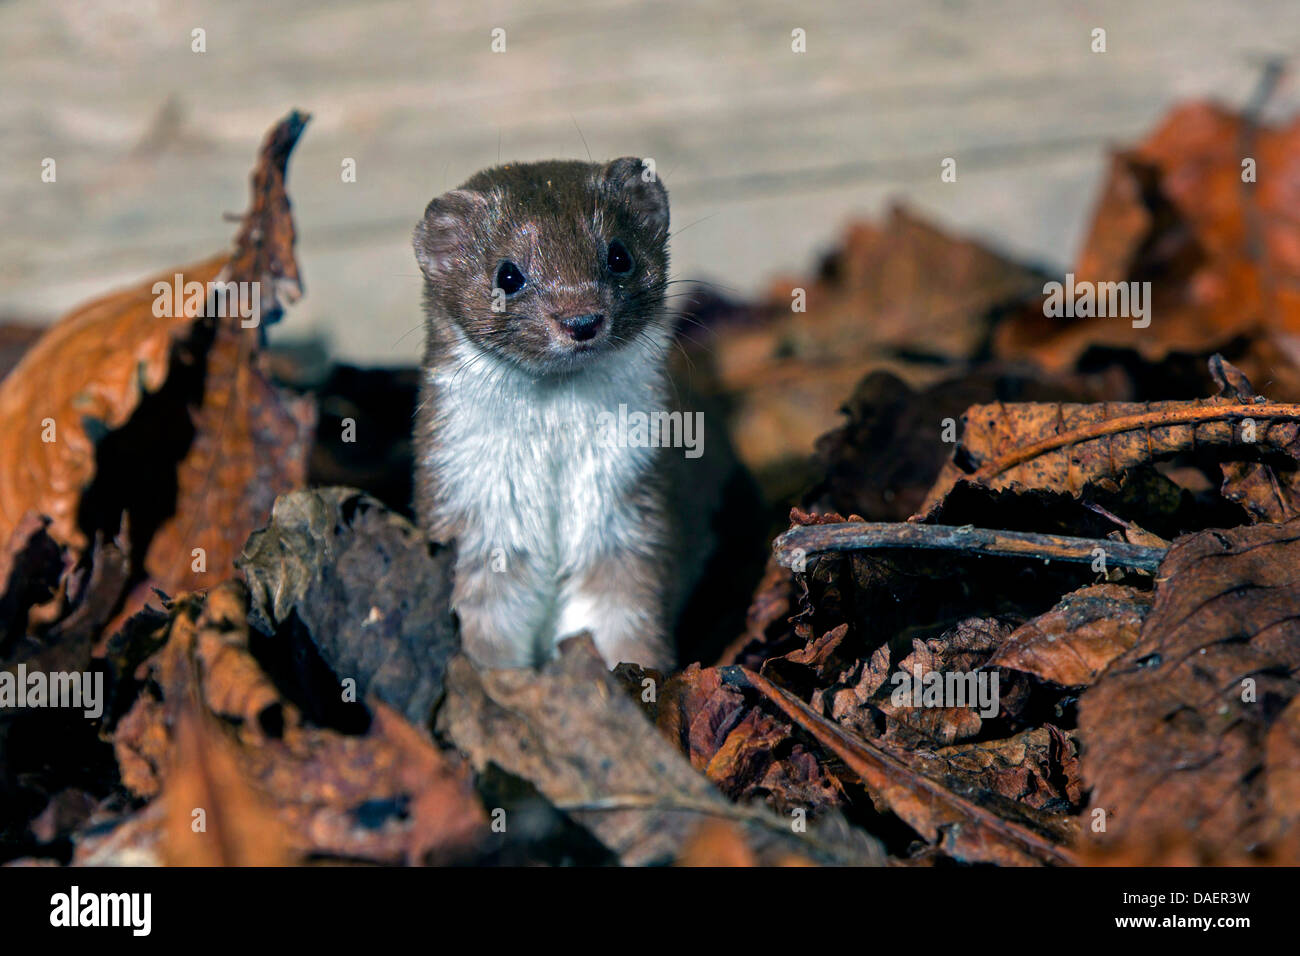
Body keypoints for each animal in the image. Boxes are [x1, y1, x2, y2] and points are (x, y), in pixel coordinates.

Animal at [413, 157, 681, 671]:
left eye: (619, 254)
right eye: (507, 275)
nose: (581, 319)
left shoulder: (627, 515)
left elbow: (619, 611)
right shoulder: (473, 514)